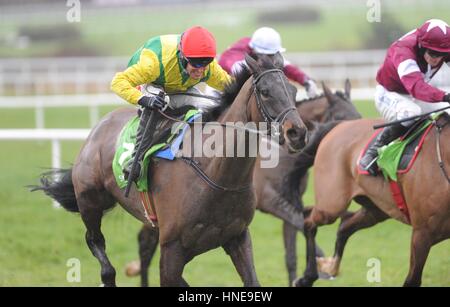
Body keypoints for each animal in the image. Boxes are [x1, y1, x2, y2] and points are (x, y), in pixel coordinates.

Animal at [30, 54, 306, 288]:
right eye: (265, 92)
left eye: (293, 90)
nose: (298, 133)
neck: (217, 173)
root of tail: (98, 128)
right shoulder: (172, 250)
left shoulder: (237, 238)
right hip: (90, 201)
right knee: (97, 246)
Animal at [125, 81, 360, 286]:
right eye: (341, 116)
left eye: (358, 115)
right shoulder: (271, 200)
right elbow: (301, 224)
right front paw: (323, 267)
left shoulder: (293, 199)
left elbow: (291, 252)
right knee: (146, 244)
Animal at [294, 116, 450, 288]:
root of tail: (342, 124)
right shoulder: (422, 233)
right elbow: (412, 280)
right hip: (331, 206)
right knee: (308, 220)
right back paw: (307, 277)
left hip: (376, 208)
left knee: (345, 225)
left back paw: (329, 267)